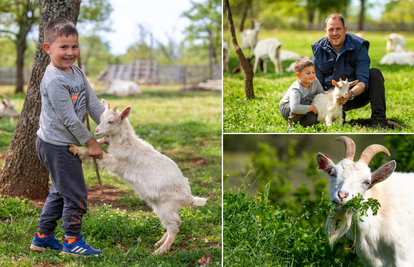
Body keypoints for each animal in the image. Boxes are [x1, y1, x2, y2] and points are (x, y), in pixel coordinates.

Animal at [70, 100, 210, 255]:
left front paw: (77, 149)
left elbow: (98, 154)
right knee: (171, 224)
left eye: (111, 121)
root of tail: (189, 197)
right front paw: (97, 141)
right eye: (100, 119)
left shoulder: (116, 162)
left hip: (168, 206)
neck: (126, 143)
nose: (96, 131)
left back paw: (160, 251)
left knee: (175, 226)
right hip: (160, 207)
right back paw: (159, 243)